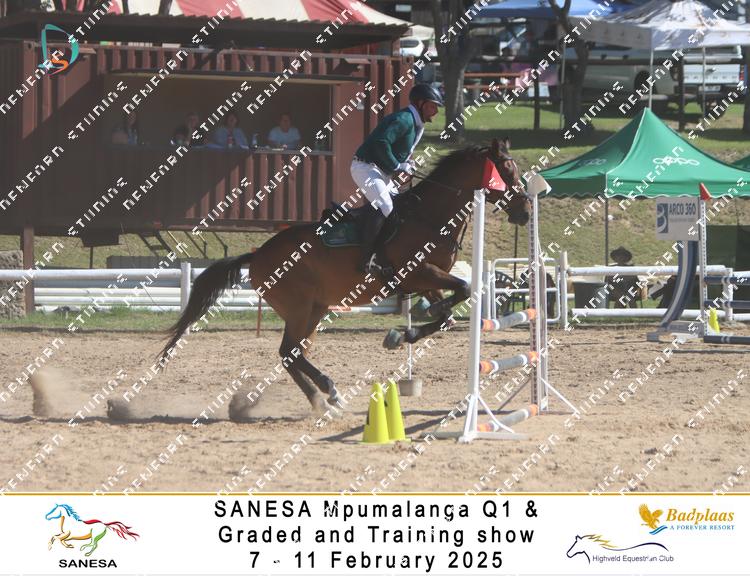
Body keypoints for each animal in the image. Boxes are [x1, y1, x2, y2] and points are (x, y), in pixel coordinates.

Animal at [160, 138, 530, 414]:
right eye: (507, 169)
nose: (526, 211)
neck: (430, 216)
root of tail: (259, 254)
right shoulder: (419, 272)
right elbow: (463, 289)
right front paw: (410, 329)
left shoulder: (426, 279)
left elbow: (447, 314)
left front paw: (404, 334)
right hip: (299, 308)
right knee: (288, 351)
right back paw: (324, 394)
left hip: (315, 309)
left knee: (293, 354)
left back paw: (324, 396)